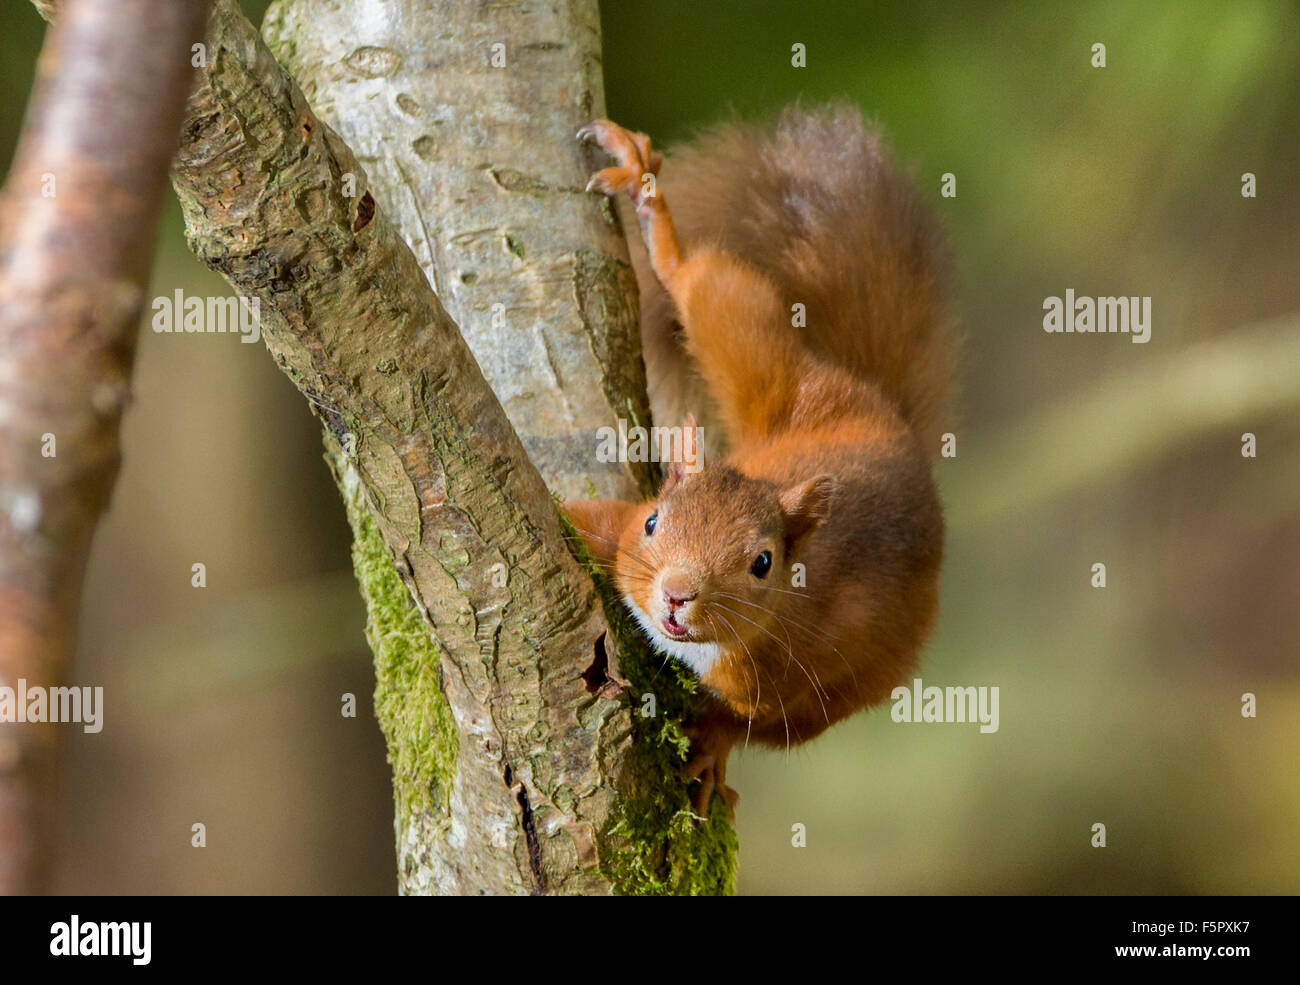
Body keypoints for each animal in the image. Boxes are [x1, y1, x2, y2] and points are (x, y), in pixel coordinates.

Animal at [569, 105, 956, 816]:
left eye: (763, 563)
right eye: (654, 522)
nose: (676, 594)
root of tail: (886, 417)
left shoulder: (800, 671)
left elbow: (749, 722)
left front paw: (710, 746)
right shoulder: (619, 543)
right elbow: (570, 516)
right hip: (778, 373)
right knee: (703, 285)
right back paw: (645, 193)